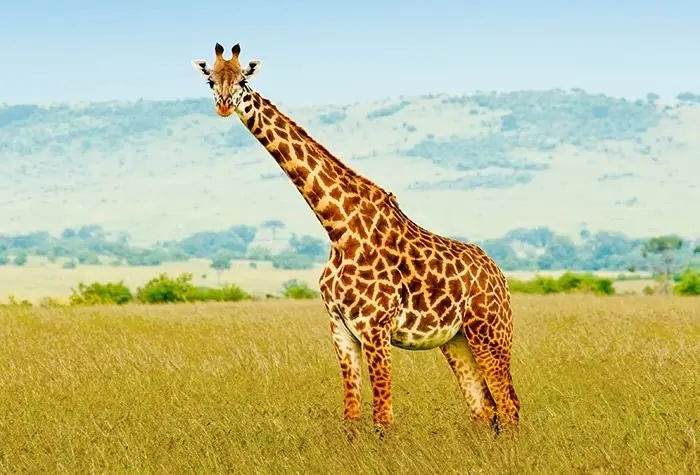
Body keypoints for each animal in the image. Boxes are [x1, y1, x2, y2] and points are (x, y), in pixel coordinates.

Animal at [192, 43, 520, 436]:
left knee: (509, 405)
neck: (338, 226)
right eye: (211, 80)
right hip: (456, 339)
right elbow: (351, 415)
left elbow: (383, 419)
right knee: (484, 408)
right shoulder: (340, 329)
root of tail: (499, 275)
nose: (225, 105)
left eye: (243, 80)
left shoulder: (375, 328)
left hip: (491, 331)